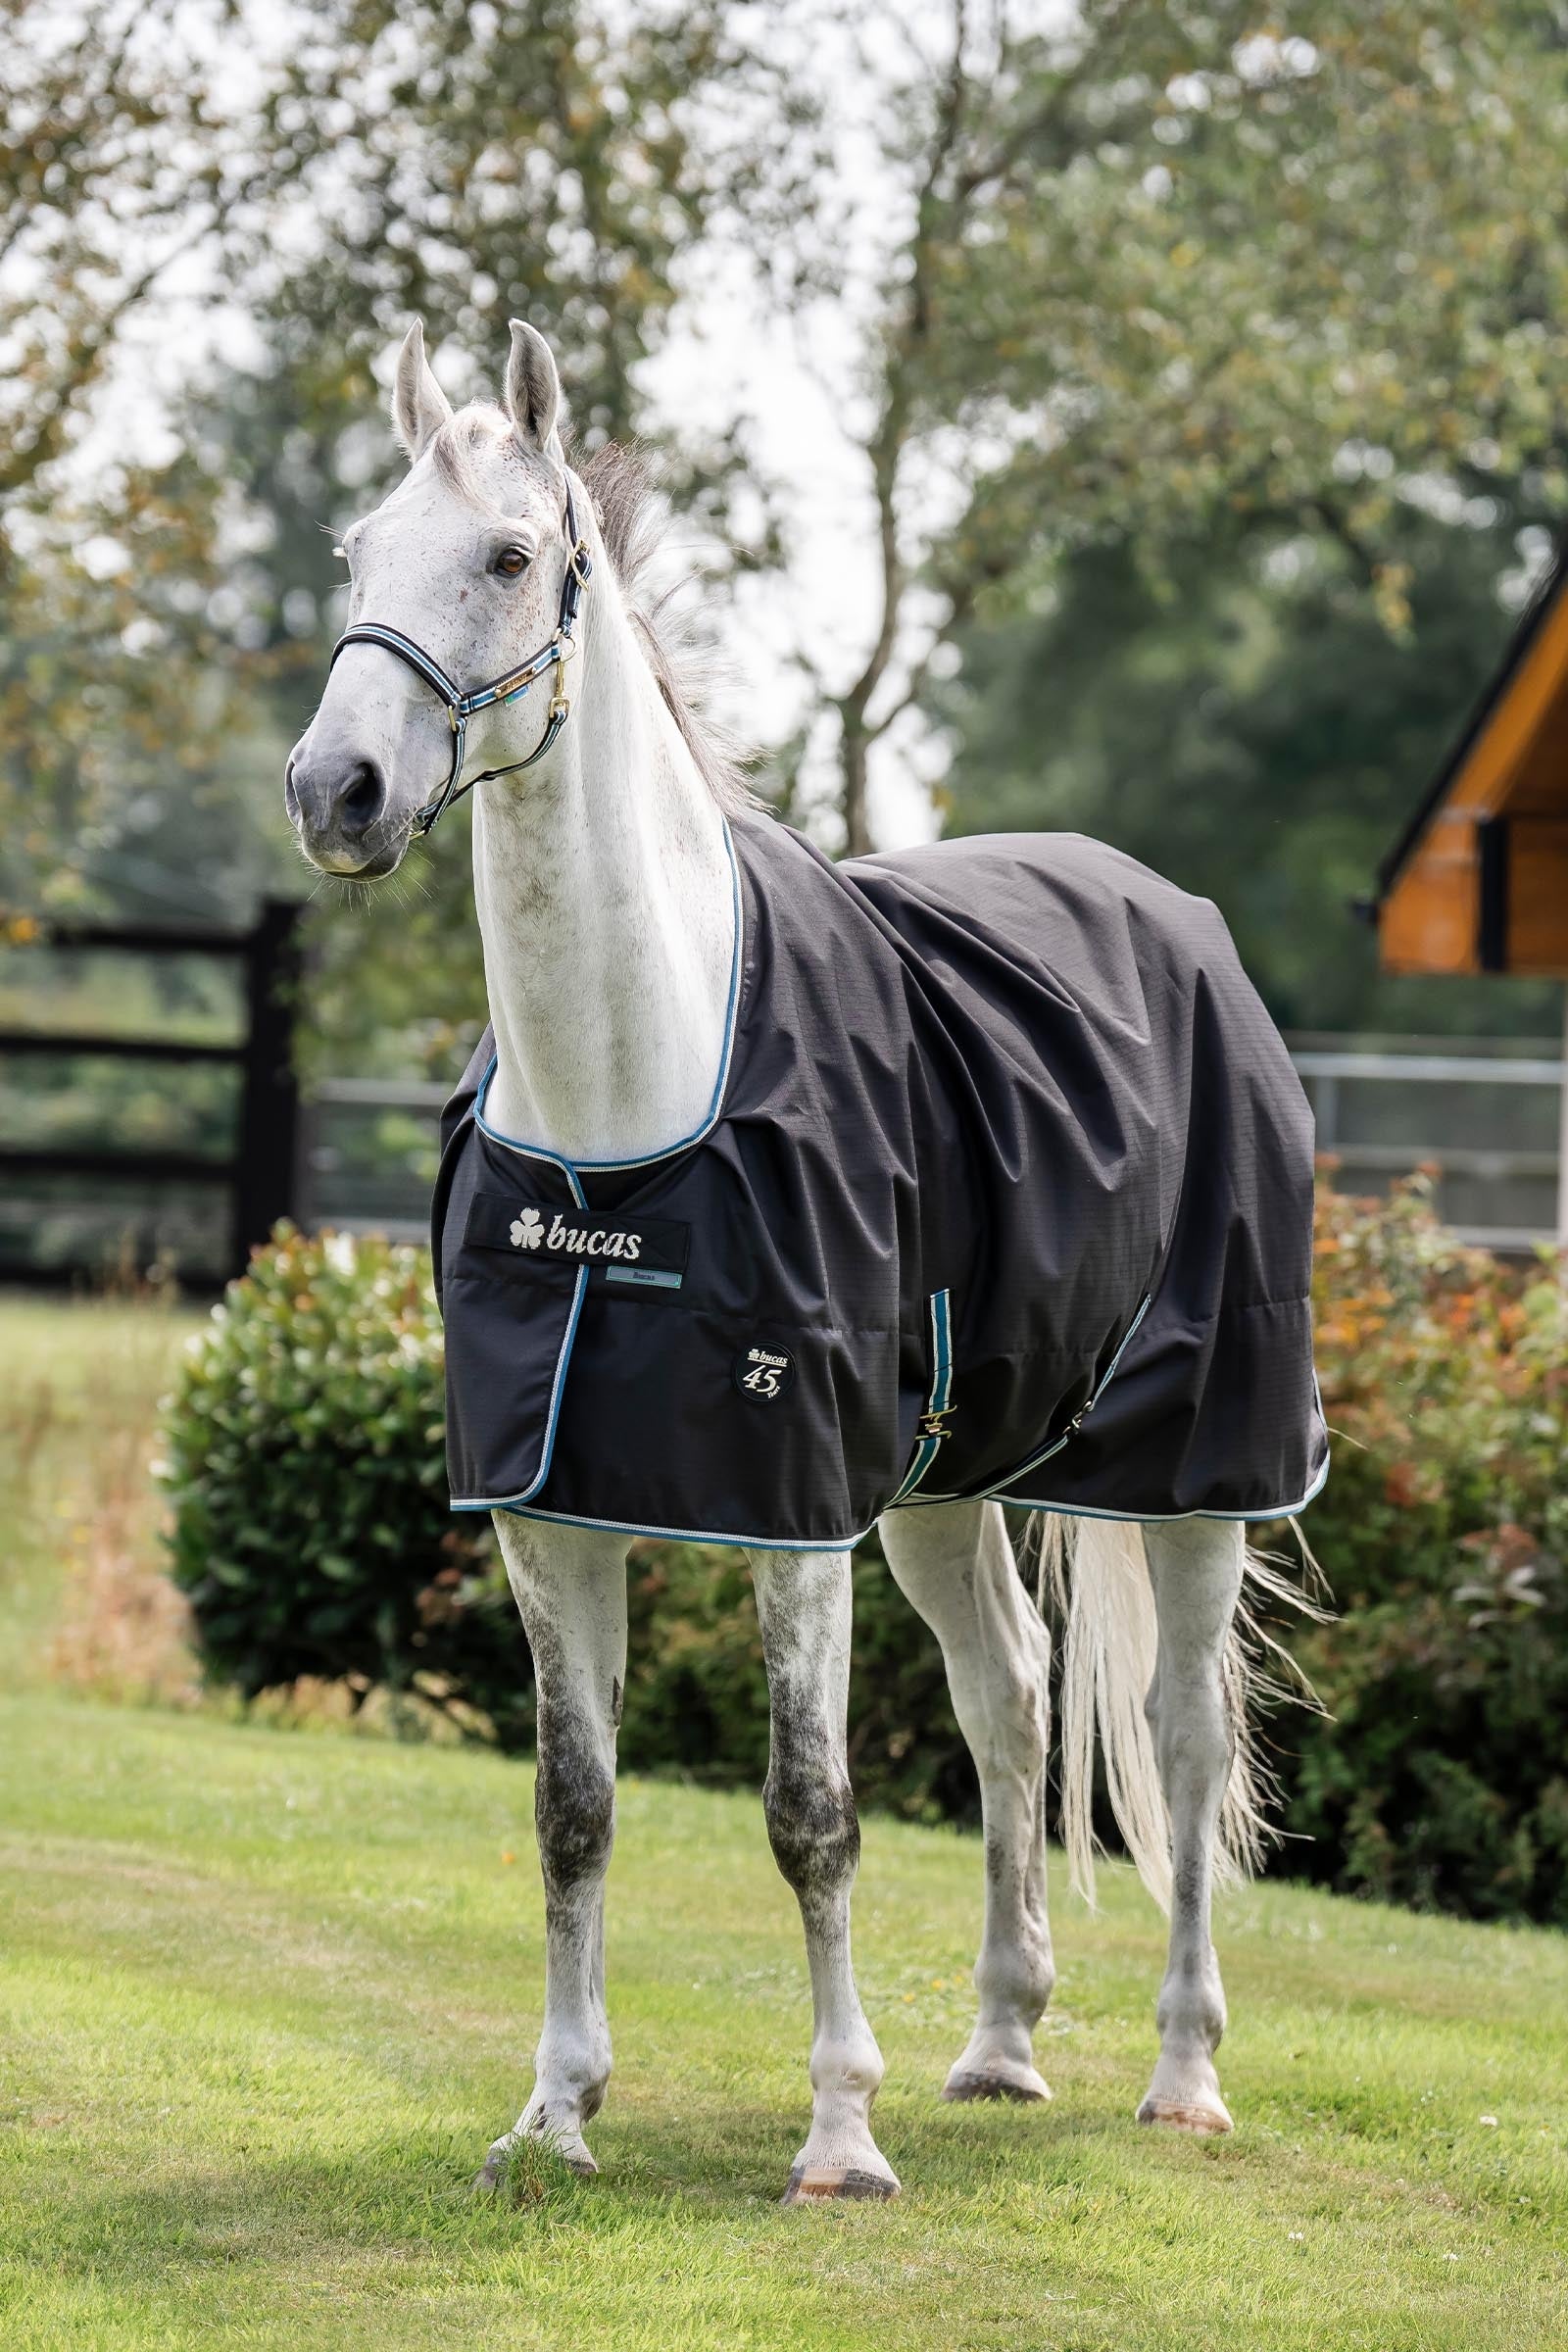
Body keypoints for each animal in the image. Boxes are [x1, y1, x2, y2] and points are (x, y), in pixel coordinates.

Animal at [285, 317, 1325, 2204]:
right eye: (355, 555)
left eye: (512, 557)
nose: (337, 793)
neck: (629, 1104)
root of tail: (1178, 921)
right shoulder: (552, 1514)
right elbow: (572, 1808)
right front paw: (553, 2115)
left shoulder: (790, 1516)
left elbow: (811, 1811)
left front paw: (839, 2133)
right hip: (940, 1489)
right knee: (1011, 1701)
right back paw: (998, 2046)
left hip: (1201, 1474)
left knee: (1182, 1736)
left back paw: (1182, 2076)